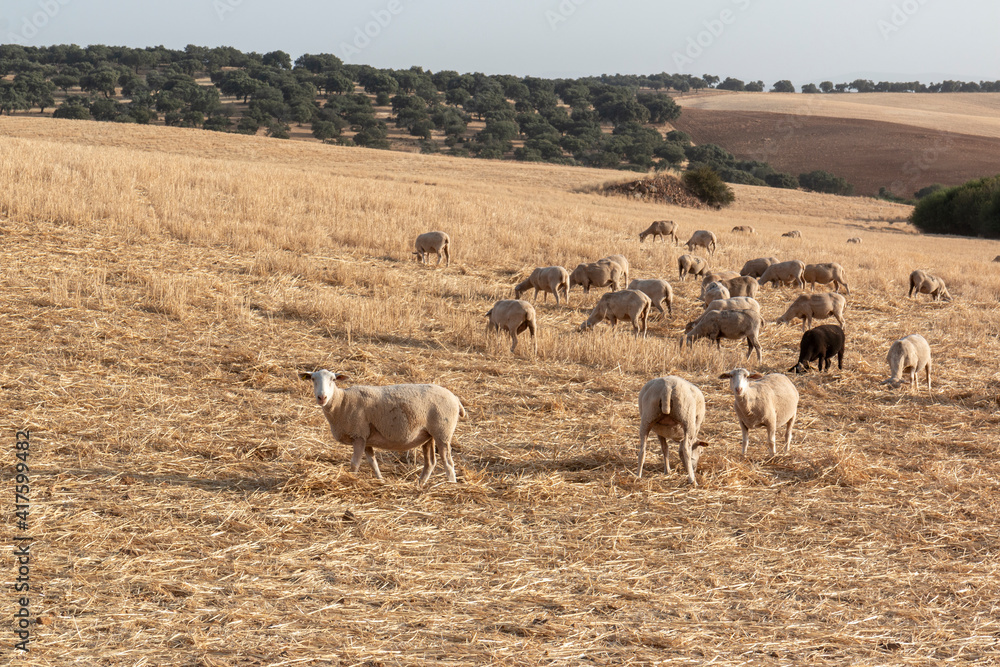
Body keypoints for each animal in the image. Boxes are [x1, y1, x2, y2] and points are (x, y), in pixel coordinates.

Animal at [298, 370, 466, 486]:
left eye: (333, 379)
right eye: (313, 379)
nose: (322, 397)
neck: (342, 402)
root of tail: (456, 398)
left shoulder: (359, 435)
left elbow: (355, 463)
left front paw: (353, 479)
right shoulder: (366, 438)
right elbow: (373, 462)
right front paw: (380, 479)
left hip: (443, 432)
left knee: (448, 462)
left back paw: (451, 485)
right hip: (428, 435)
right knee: (430, 462)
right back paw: (420, 484)